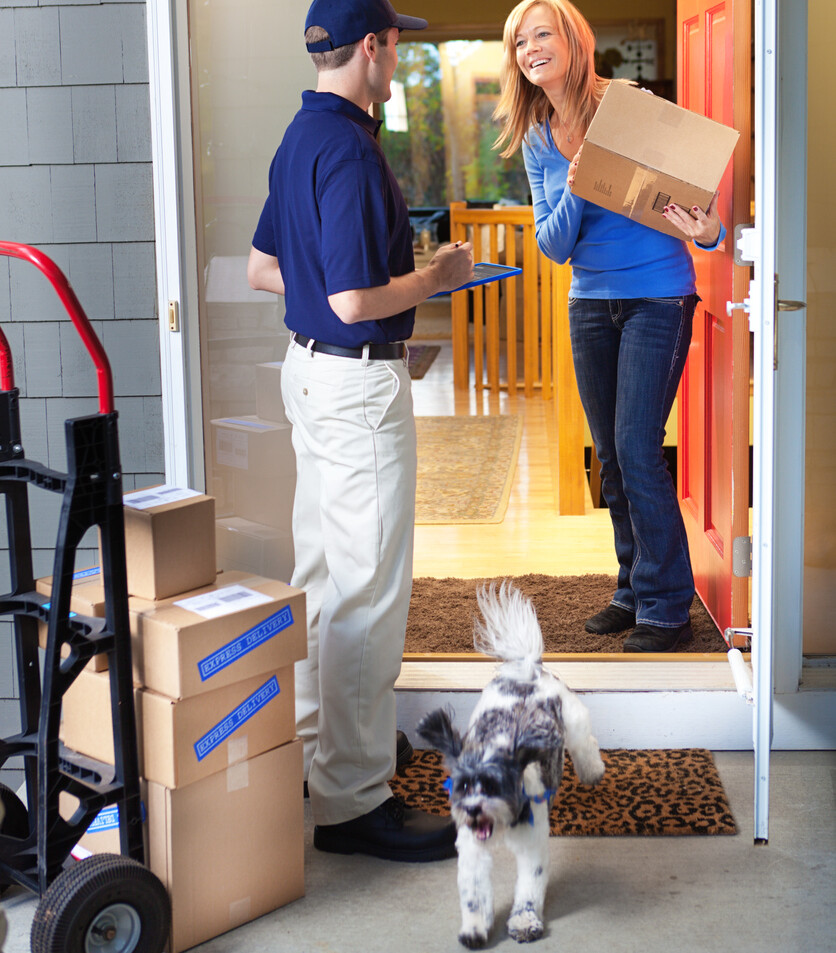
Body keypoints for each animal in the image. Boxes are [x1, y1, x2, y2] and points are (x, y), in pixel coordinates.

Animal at [416, 580, 600, 944]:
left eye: (494, 785)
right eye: (462, 787)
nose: (473, 809)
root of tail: (527, 670)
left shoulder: (532, 847)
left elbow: (529, 888)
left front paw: (524, 922)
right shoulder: (471, 851)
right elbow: (473, 892)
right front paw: (474, 928)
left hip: (573, 720)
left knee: (586, 744)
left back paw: (593, 771)